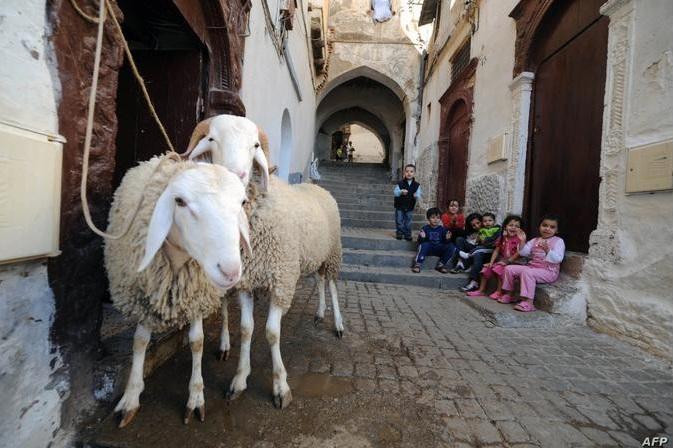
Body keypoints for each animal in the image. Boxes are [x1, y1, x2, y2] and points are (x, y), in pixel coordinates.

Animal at [103, 155, 251, 428]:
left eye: (242, 202)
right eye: (180, 201)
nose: (231, 271)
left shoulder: (197, 296)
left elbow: (197, 342)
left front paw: (196, 397)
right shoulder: (143, 296)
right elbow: (139, 342)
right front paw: (130, 397)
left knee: (225, 307)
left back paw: (224, 342)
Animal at [184, 114, 344, 408]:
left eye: (255, 145)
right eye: (211, 139)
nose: (237, 175)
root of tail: (316, 187)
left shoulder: (281, 280)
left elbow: (271, 332)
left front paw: (280, 386)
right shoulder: (247, 283)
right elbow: (247, 329)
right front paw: (239, 380)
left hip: (332, 254)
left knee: (333, 285)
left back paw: (338, 324)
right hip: (314, 255)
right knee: (319, 281)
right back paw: (319, 313)